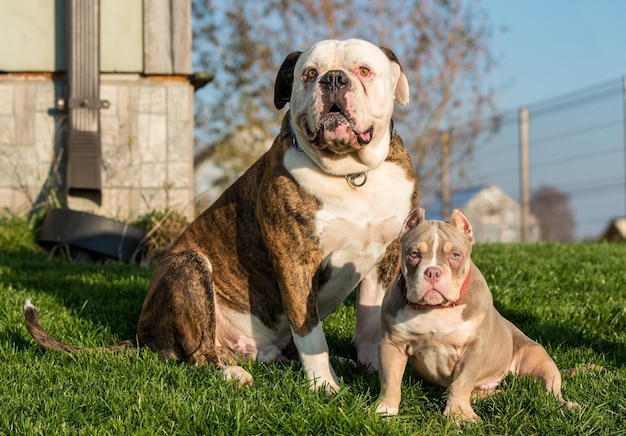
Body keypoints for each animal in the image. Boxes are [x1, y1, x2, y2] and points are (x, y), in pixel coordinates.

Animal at [24, 40, 416, 396]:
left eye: (364, 71)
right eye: (309, 74)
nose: (333, 78)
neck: (350, 174)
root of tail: (142, 335)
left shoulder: (384, 257)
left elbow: (369, 322)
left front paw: (372, 366)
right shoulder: (295, 262)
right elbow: (310, 332)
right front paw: (324, 386)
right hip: (188, 266)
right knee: (199, 353)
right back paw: (229, 372)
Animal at [376, 209, 576, 420]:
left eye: (455, 255)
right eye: (413, 254)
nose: (433, 272)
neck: (436, 308)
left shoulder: (473, 349)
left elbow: (461, 383)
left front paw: (459, 415)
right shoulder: (391, 344)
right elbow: (390, 380)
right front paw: (385, 411)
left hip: (540, 359)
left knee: (551, 389)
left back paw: (565, 405)